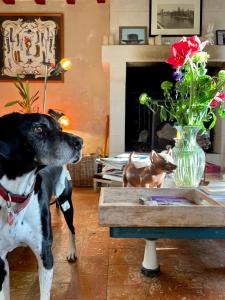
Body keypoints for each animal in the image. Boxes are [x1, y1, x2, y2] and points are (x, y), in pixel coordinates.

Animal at [0, 113, 82, 300]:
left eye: (60, 128)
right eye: (38, 128)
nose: (80, 142)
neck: (15, 196)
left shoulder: (45, 255)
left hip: (66, 203)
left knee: (72, 228)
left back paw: (72, 252)